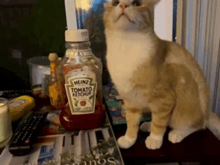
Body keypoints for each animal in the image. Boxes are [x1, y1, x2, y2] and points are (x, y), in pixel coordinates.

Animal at [103, 0, 220, 150]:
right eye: (115, 3)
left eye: (136, 3)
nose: (123, 6)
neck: (126, 45)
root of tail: (207, 113)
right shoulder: (131, 100)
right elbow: (131, 122)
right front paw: (129, 139)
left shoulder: (164, 100)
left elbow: (159, 123)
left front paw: (154, 139)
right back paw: (147, 125)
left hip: (184, 113)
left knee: (197, 125)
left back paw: (177, 133)